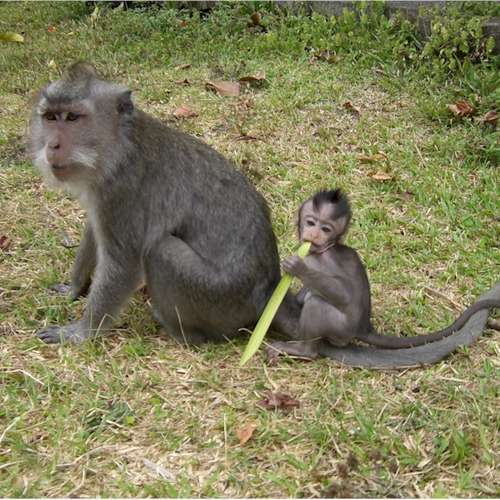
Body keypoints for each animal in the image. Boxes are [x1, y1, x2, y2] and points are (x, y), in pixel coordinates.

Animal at [268, 189, 499, 367]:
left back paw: (304, 350)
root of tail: (363, 327)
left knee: (317, 303)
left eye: (326, 229)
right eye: (310, 222)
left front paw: (297, 267)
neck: (325, 248)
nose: (314, 235)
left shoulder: (321, 259)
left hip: (340, 329)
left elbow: (343, 294)